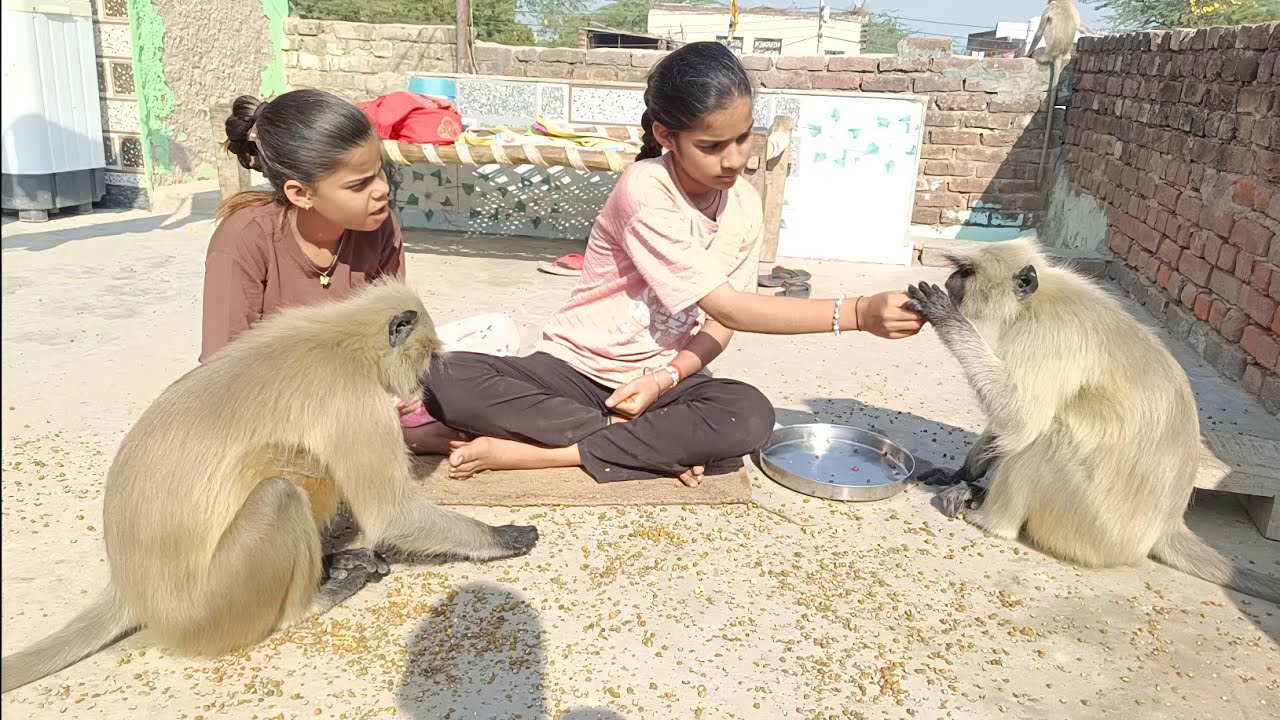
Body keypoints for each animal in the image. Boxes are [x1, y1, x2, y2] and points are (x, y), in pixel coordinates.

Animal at [1, 279, 540, 694]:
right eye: (425, 355)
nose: (421, 384)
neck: (341, 342)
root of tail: (130, 585)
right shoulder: (353, 400)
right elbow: (392, 514)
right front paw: (504, 536)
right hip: (212, 606)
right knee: (281, 491)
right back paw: (314, 598)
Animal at [904, 238, 1280, 605]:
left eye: (967, 273)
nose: (952, 281)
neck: (1036, 301)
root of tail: (1167, 525)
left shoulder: (1048, 335)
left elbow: (1022, 418)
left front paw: (947, 317)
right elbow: (1012, 423)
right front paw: (966, 471)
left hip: (1094, 527)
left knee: (1049, 434)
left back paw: (990, 520)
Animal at [1024, 0, 1092, 188]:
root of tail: (1060, 54)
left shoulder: (1047, 11)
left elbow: (1038, 33)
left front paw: (1026, 53)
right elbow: (1081, 27)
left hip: (1043, 55)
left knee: (1039, 47)